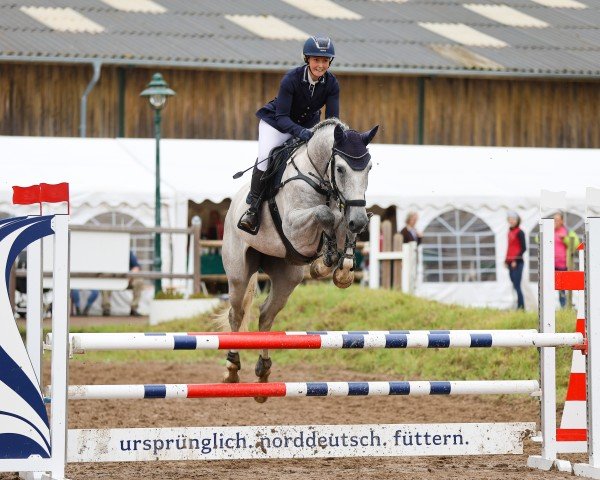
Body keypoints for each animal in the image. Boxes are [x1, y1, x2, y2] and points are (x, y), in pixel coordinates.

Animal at [223, 119, 378, 402]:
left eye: (369, 168)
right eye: (340, 169)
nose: (360, 220)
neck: (319, 178)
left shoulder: (347, 213)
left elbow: (341, 223)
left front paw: (341, 269)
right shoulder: (294, 228)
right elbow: (327, 214)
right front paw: (324, 262)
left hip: (287, 276)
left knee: (265, 315)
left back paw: (263, 375)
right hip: (239, 273)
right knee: (236, 314)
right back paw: (231, 368)